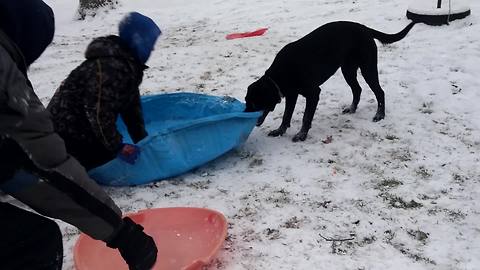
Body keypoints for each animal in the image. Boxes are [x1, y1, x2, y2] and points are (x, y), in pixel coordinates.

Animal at [246, 21, 414, 141]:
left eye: (254, 104)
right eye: (247, 101)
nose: (245, 114)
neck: (279, 75)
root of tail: (364, 28)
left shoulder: (314, 93)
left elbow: (306, 117)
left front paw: (301, 135)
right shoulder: (292, 95)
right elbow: (286, 115)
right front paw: (280, 131)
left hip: (368, 68)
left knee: (380, 92)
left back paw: (380, 115)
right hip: (348, 70)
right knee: (357, 89)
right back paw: (352, 108)